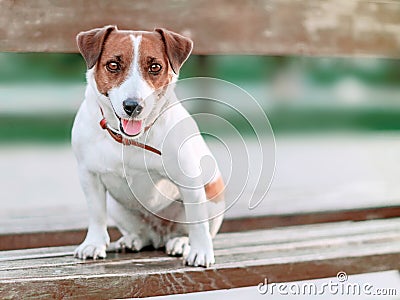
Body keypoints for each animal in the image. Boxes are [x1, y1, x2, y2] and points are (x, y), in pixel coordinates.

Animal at [71, 26, 225, 268]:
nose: (133, 106)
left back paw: (181, 242)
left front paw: (201, 251)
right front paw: (93, 244)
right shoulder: (89, 174)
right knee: (143, 234)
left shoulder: (190, 181)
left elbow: (198, 223)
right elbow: (96, 214)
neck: (129, 139)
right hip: (117, 207)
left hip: (213, 195)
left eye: (155, 67)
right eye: (113, 65)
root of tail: (161, 234)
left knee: (190, 228)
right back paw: (133, 239)